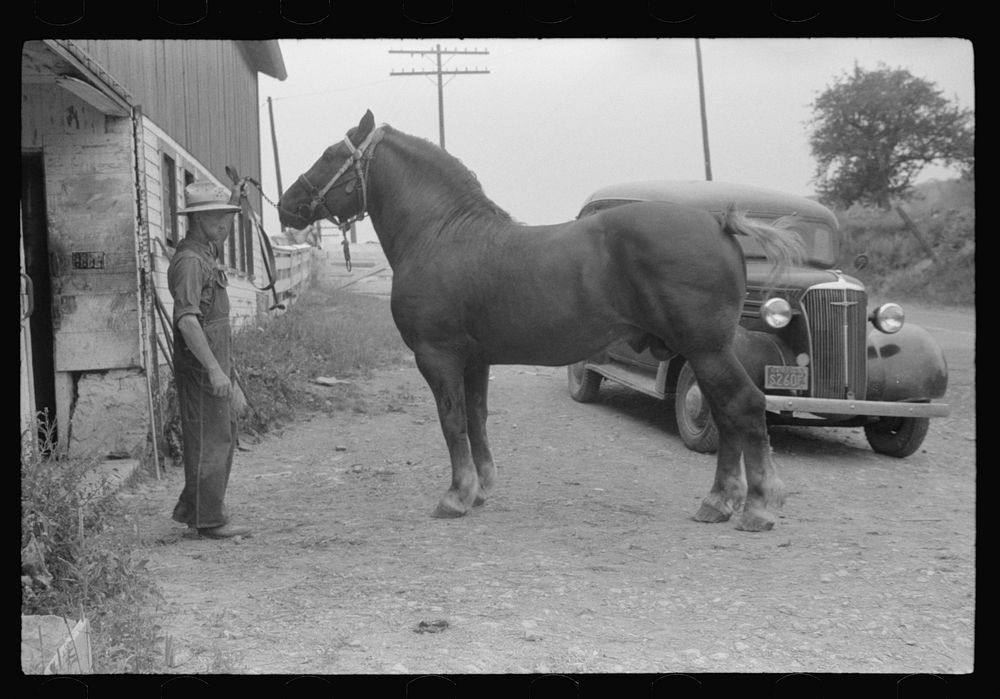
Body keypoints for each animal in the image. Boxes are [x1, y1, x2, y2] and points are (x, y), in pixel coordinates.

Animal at [278, 112, 800, 532]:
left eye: (330, 154)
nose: (287, 205)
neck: (440, 234)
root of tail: (720, 224)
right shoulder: (475, 360)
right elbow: (477, 418)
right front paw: (481, 489)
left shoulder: (437, 356)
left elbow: (452, 421)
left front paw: (455, 496)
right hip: (703, 351)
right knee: (727, 415)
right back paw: (719, 502)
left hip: (705, 350)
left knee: (744, 407)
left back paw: (755, 508)